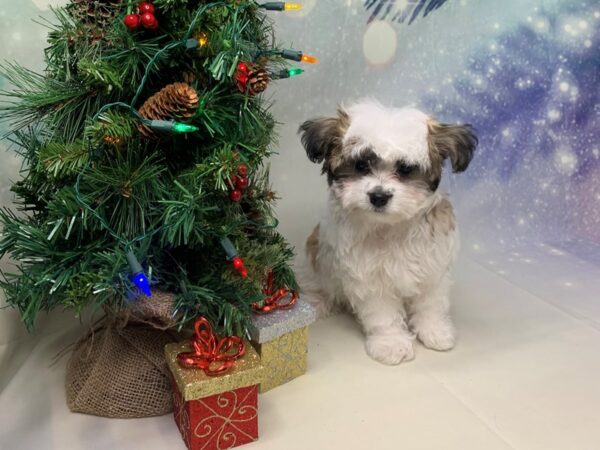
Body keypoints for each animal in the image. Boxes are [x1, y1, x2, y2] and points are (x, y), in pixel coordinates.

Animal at [296, 100, 478, 364]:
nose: (379, 196)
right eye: (361, 165)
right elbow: (383, 315)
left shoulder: (433, 265)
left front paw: (435, 330)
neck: (392, 227)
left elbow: (431, 303)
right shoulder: (369, 279)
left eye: (405, 169)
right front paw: (391, 343)